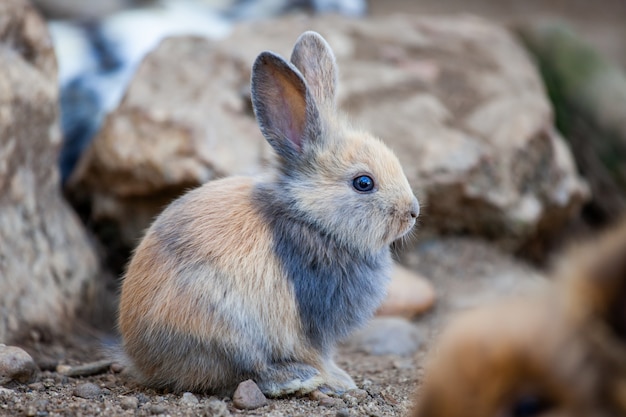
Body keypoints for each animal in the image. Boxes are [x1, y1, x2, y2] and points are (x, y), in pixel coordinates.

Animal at [117, 30, 420, 396]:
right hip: (226, 329)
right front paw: (340, 381)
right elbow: (318, 354)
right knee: (244, 370)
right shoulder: (309, 323)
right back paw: (295, 378)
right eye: (363, 183)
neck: (312, 217)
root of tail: (142, 360)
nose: (413, 212)